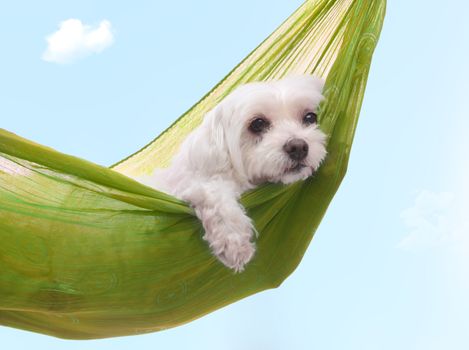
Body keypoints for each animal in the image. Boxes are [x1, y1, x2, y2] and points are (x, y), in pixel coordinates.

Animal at [140, 75, 326, 272]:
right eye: (257, 124)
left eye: (310, 117)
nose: (298, 147)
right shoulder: (191, 185)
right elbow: (213, 195)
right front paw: (234, 241)